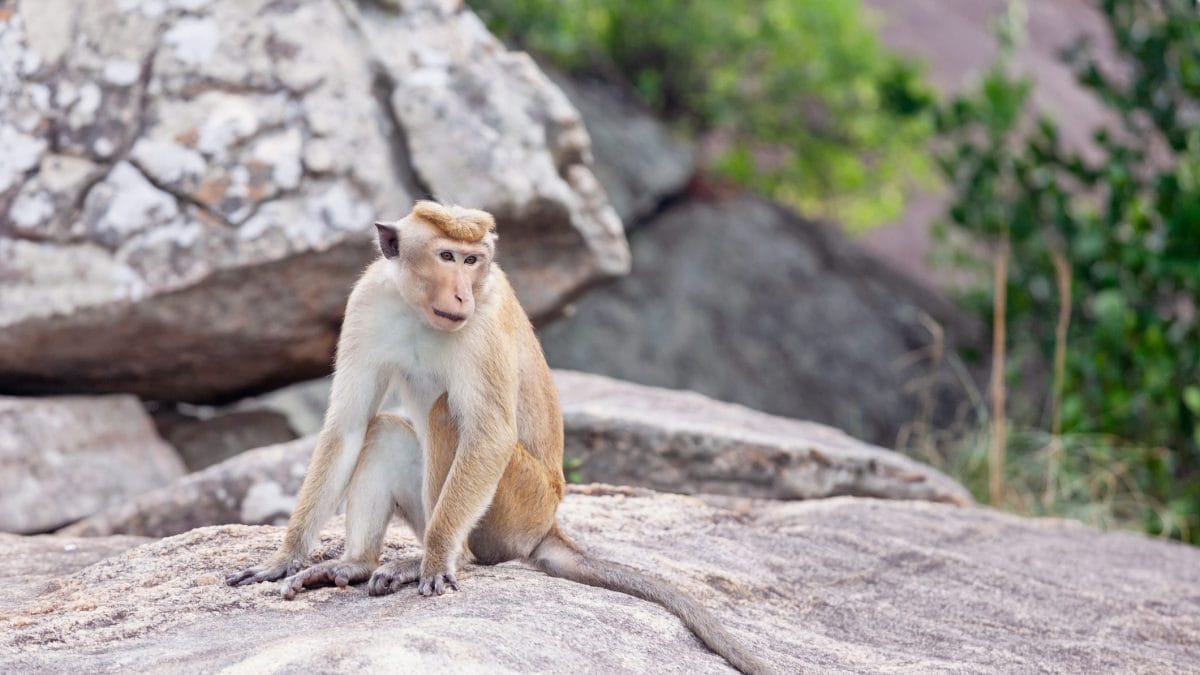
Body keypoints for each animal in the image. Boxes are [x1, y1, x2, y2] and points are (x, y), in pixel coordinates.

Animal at [225, 201, 766, 674]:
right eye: (447, 256)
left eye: (473, 260)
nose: (462, 293)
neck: (419, 310)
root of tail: (548, 524)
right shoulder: (367, 302)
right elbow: (350, 425)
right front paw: (283, 559)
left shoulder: (484, 321)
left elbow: (488, 434)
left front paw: (436, 560)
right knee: (384, 431)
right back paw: (357, 563)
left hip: (517, 507)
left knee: (447, 415)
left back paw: (437, 559)